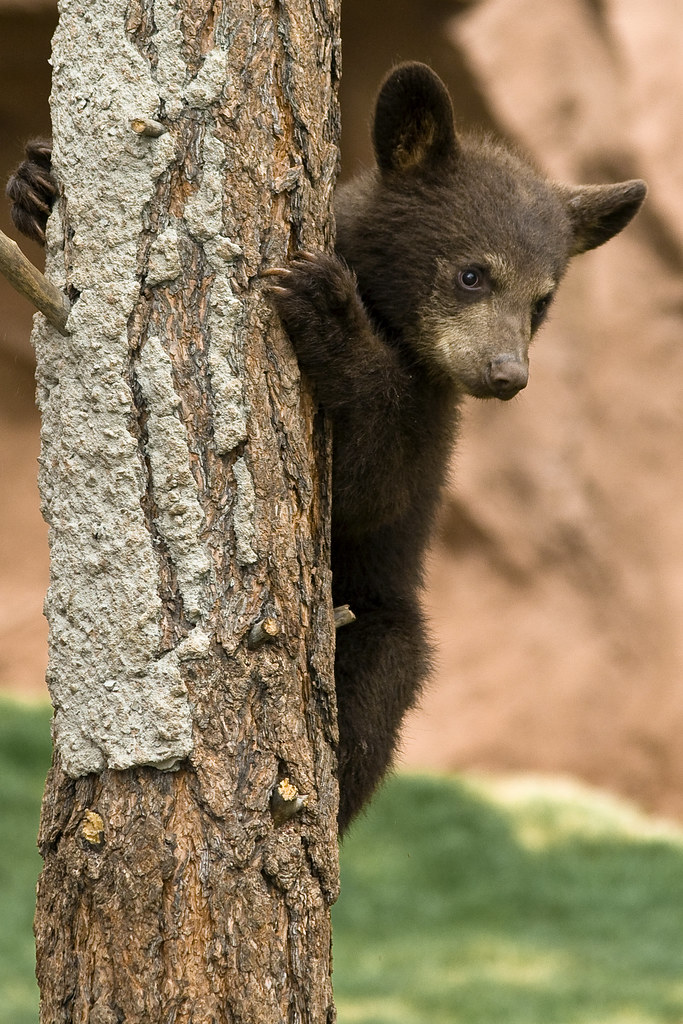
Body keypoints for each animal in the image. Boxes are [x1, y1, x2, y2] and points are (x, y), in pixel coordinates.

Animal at [6, 62, 646, 833]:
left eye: (542, 300)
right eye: (473, 274)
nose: (505, 376)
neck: (394, 321)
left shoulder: (433, 416)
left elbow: (374, 485)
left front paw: (326, 310)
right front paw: (36, 180)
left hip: (378, 616)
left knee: (381, 685)